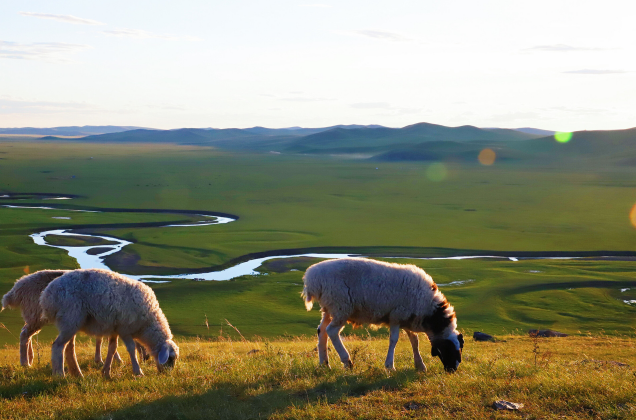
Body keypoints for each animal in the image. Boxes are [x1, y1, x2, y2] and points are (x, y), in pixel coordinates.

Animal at [39, 270, 179, 378]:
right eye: (170, 358)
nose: (167, 374)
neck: (147, 324)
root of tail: (46, 295)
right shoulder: (124, 329)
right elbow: (131, 349)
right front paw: (138, 371)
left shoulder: (114, 329)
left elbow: (112, 349)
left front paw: (106, 372)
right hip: (70, 318)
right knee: (57, 346)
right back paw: (59, 375)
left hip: (71, 322)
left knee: (69, 348)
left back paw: (77, 374)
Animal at [300, 258, 464, 372]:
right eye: (450, 349)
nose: (452, 370)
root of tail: (311, 278)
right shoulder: (396, 316)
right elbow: (394, 340)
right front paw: (390, 366)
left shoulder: (407, 317)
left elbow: (414, 340)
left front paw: (420, 365)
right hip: (341, 307)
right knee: (332, 331)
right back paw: (347, 361)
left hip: (329, 308)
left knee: (321, 331)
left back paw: (324, 364)